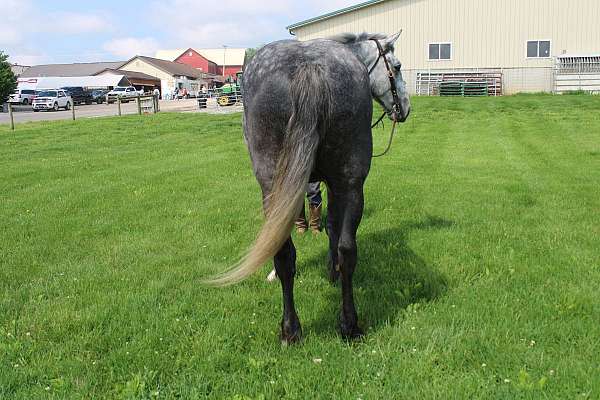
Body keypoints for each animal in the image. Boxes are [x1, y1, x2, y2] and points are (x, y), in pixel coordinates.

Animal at [211, 32, 412, 342]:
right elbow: (330, 226)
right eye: (397, 66)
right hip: (350, 186)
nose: (405, 108)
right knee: (345, 250)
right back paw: (348, 325)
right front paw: (331, 270)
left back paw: (290, 329)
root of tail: (310, 66)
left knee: (286, 252)